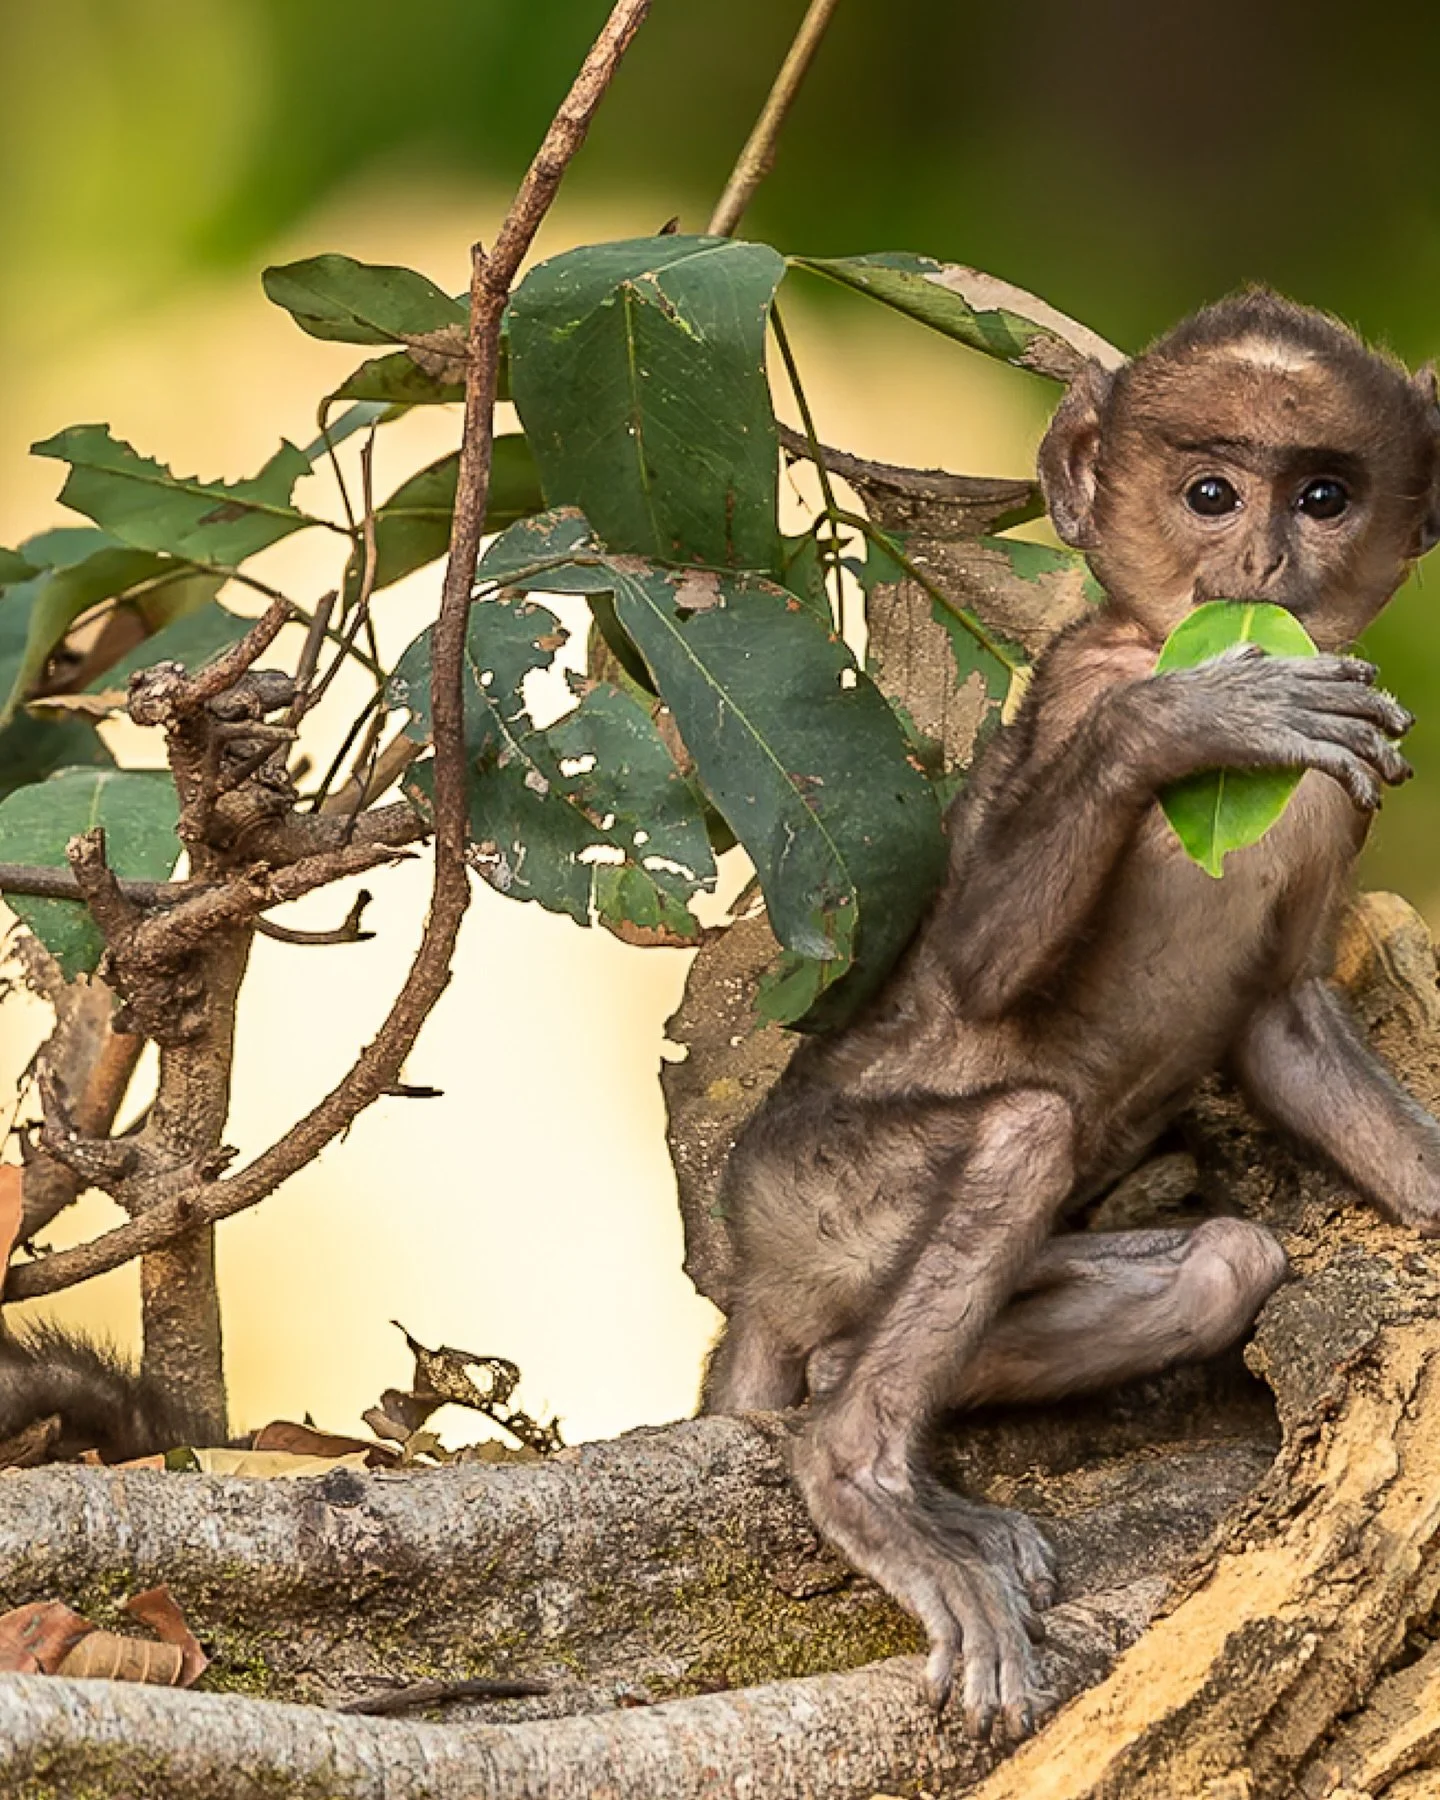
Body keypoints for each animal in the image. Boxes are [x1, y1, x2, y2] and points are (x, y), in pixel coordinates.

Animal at [702, 289, 1440, 1741]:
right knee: (1022, 1133)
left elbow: (1281, 1018)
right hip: (803, 1193)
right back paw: (860, 1473)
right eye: (1211, 492)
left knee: (1226, 1264)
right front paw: (1195, 716)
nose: (1260, 562)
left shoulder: (1350, 767)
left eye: (1324, 495)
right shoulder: (1084, 675)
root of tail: (751, 1278)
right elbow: (979, 965)